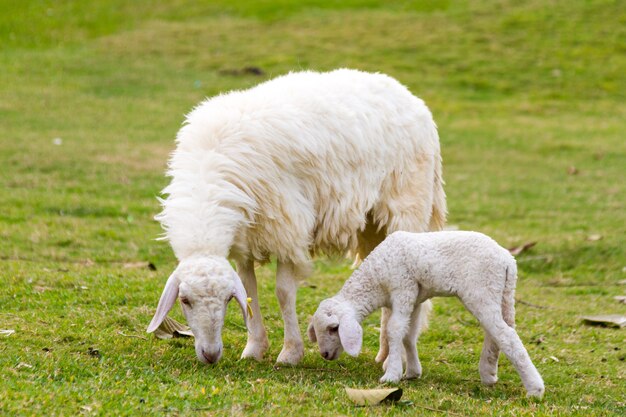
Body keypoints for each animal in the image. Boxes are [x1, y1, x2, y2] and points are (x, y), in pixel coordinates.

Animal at [146, 68, 444, 364]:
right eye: (185, 300)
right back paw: (383, 353)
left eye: (228, 299)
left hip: (407, 205)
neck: (208, 178)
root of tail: (410, 96)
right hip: (371, 225)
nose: (210, 355)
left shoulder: (288, 226)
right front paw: (254, 348)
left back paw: (394, 355)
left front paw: (290, 352)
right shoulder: (246, 237)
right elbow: (250, 288)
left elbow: (283, 293)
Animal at [310, 231, 544, 396]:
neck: (376, 280)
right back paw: (489, 373)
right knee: (499, 331)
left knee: (506, 335)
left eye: (334, 328)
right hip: (501, 293)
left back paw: (534, 389)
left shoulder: (402, 288)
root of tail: (508, 260)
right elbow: (409, 335)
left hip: (481, 290)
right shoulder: (415, 298)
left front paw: (391, 375)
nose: (325, 354)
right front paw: (412, 372)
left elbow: (394, 330)